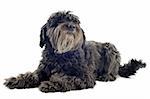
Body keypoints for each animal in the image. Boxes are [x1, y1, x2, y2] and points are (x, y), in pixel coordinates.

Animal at [3, 11, 146, 92]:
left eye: (75, 22)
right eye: (58, 21)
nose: (72, 26)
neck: (61, 55)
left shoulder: (85, 77)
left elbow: (68, 79)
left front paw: (51, 83)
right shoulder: (42, 70)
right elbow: (31, 75)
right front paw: (15, 80)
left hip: (110, 48)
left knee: (113, 73)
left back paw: (106, 76)